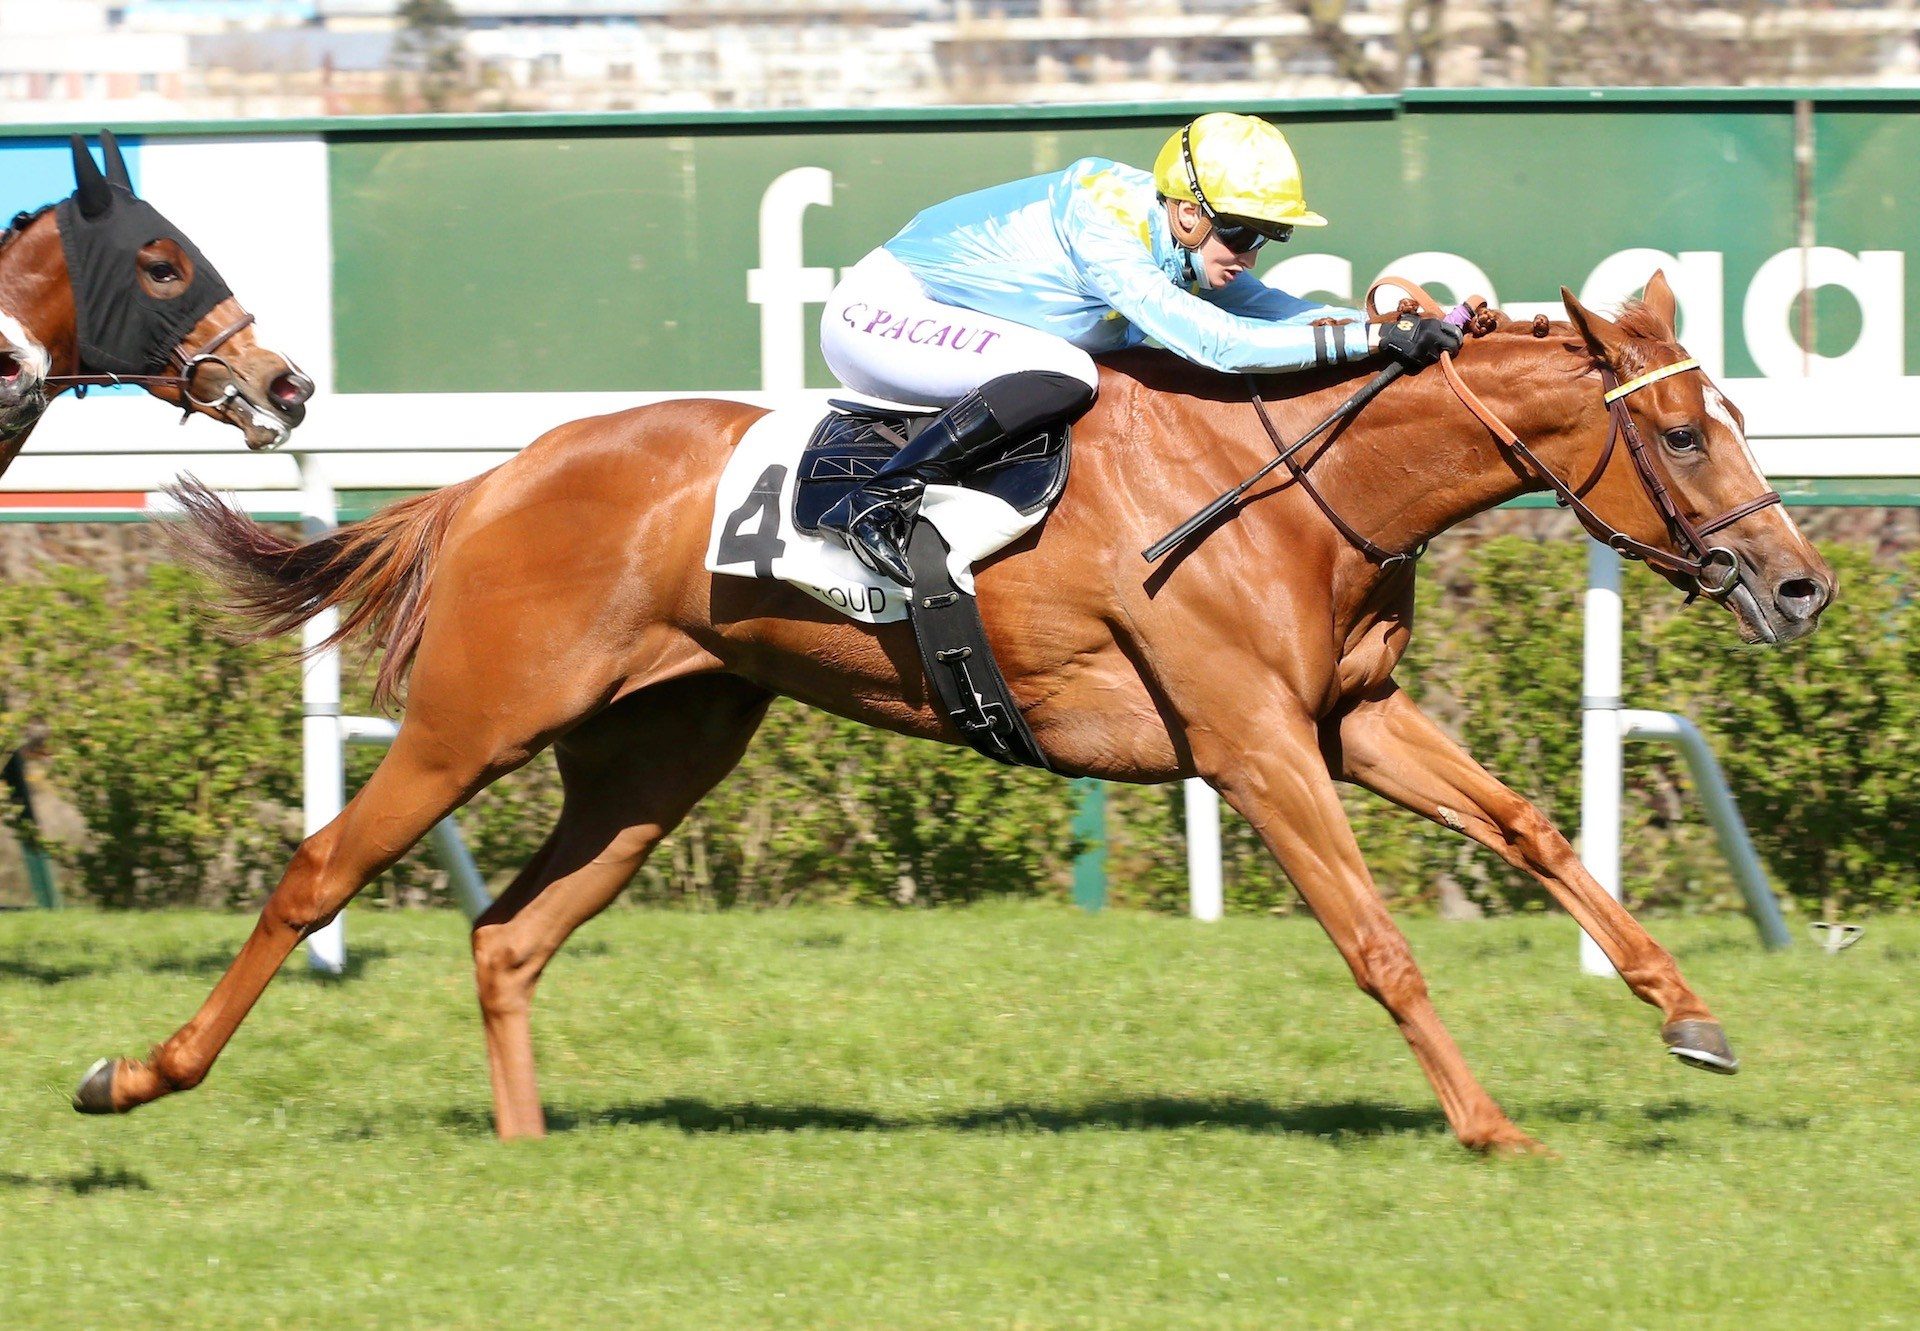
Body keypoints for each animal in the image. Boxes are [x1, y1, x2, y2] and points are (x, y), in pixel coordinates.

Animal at [82, 272, 1835, 1152]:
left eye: (1735, 411)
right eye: (1685, 434)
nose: (1802, 584)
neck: (1289, 480)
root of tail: (501, 473)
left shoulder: (1349, 716)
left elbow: (1534, 825)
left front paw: (1688, 1011)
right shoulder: (1254, 742)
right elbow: (1376, 937)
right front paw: (1487, 1126)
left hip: (660, 753)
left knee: (512, 933)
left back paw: (524, 1148)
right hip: (475, 722)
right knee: (319, 869)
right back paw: (138, 1074)